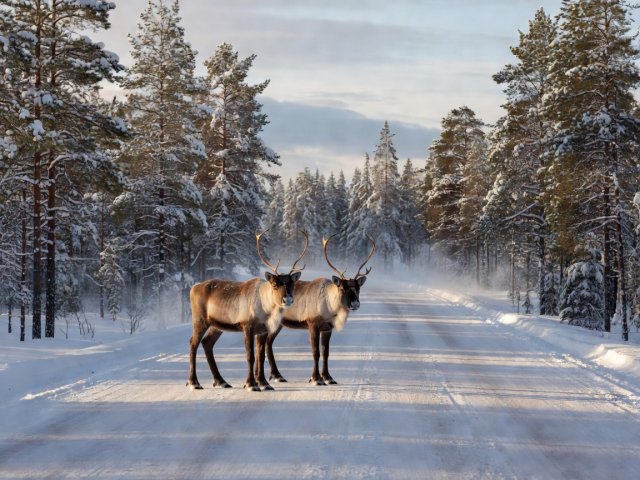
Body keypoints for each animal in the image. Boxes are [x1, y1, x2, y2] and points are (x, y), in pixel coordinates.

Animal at [187, 230, 308, 392]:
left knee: (207, 343)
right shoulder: (247, 325)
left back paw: (221, 381)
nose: (287, 299)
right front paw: (251, 384)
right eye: (275, 285)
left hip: (216, 325)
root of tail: (193, 287)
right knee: (193, 343)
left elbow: (260, 356)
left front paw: (264, 383)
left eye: (292, 284)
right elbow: (250, 356)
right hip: (200, 319)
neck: (266, 310)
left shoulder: (262, 330)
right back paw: (194, 382)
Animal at [259, 234, 375, 386]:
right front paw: (315, 378)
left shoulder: (327, 328)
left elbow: (326, 352)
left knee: (268, 343)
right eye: (342, 288)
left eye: (358, 287)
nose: (355, 303)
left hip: (278, 323)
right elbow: (316, 352)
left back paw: (277, 376)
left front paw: (328, 377)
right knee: (266, 343)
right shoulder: (312, 324)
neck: (329, 308)